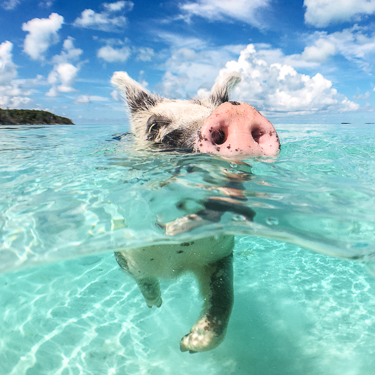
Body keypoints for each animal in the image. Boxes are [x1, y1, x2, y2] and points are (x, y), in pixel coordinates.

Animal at [110, 72, 280, 354]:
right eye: (153, 126)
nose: (238, 111)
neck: (174, 260)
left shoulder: (220, 255)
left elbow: (225, 297)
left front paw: (187, 344)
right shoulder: (126, 250)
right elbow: (142, 278)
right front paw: (156, 305)